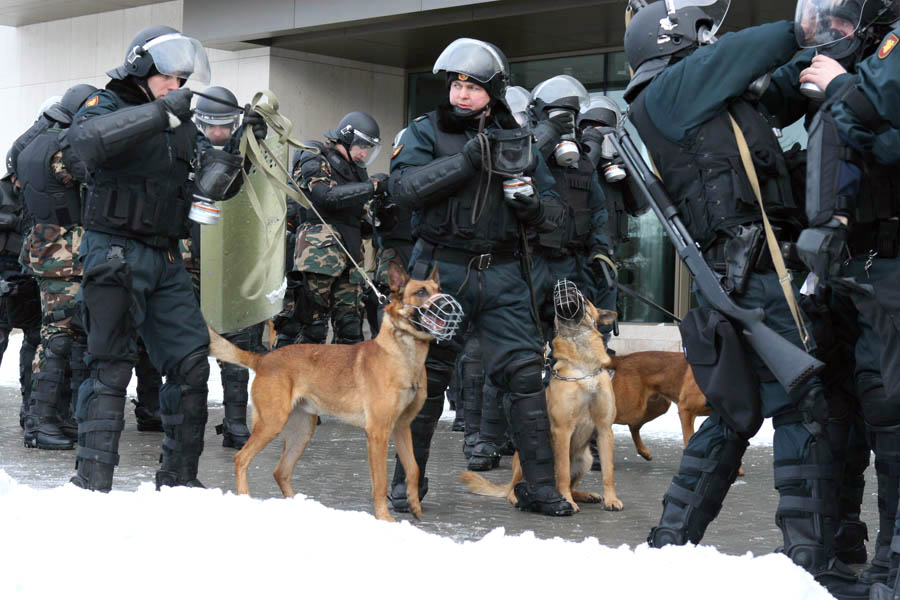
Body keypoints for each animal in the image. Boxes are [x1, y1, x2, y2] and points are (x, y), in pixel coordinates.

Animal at [207, 261, 460, 522]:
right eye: (421, 292)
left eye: (439, 289)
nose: (448, 306)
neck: (404, 354)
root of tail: (264, 359)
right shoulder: (378, 433)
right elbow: (380, 482)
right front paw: (384, 519)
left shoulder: (402, 427)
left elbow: (413, 468)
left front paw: (414, 505)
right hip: (272, 424)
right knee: (241, 459)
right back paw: (244, 497)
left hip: (301, 431)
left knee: (280, 471)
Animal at [461, 284, 622, 513]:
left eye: (584, 297)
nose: (566, 286)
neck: (582, 363)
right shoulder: (562, 430)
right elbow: (562, 473)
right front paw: (566, 502)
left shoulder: (604, 429)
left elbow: (608, 472)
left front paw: (611, 499)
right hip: (527, 462)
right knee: (520, 485)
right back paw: (522, 497)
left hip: (586, 459)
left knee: (573, 485)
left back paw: (585, 495)